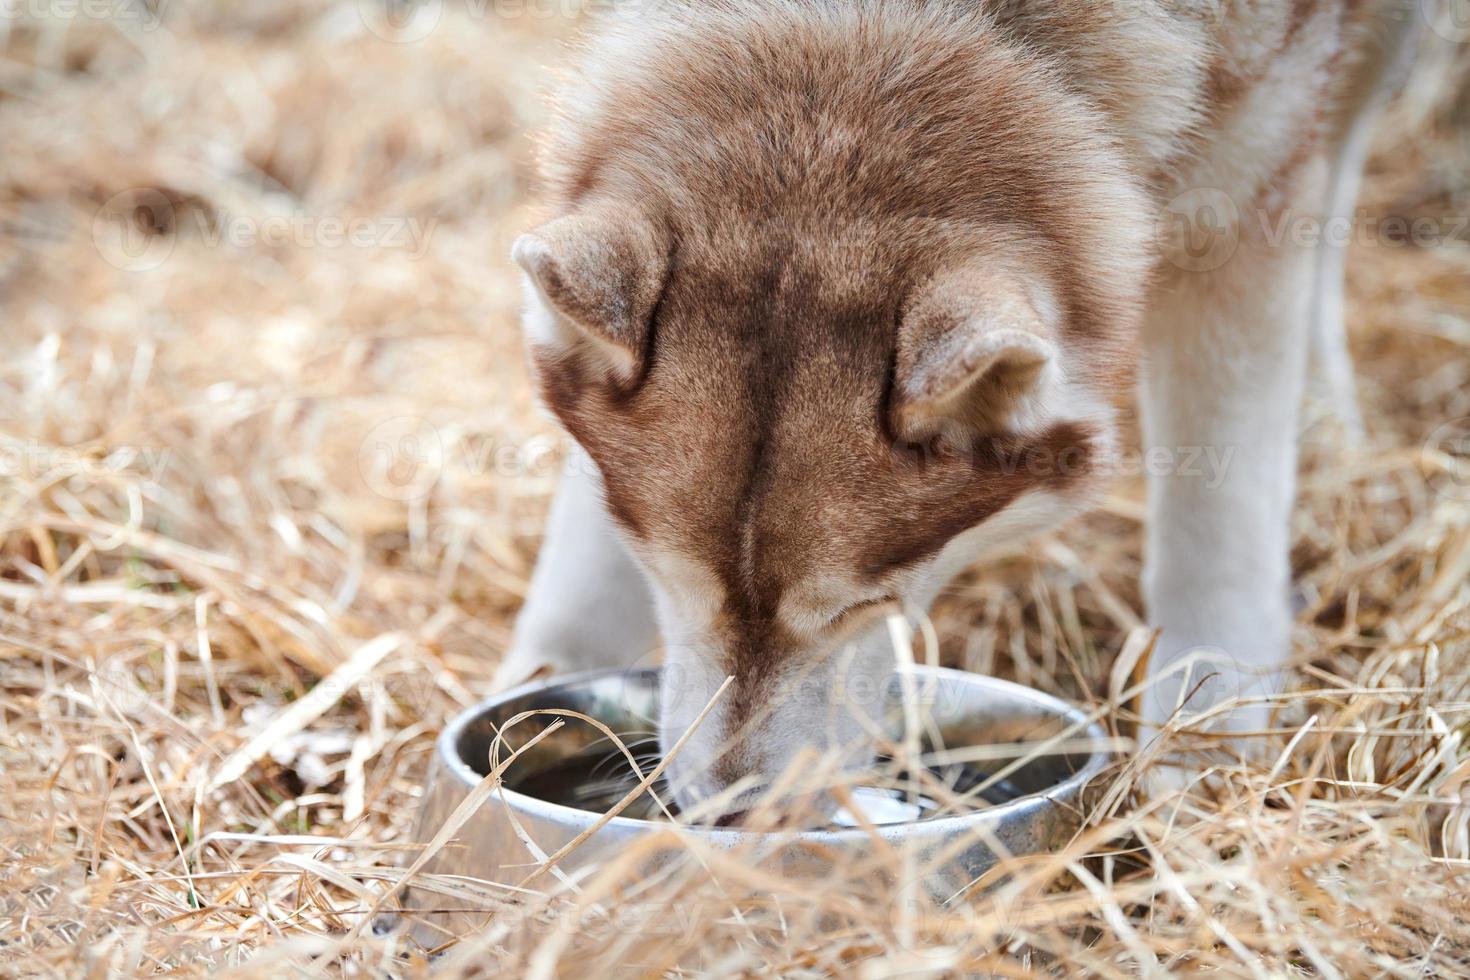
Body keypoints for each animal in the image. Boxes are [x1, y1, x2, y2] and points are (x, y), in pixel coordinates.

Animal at [499, 0, 1417, 822]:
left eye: (865, 606)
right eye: (667, 575)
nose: (734, 811)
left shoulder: (1254, 169)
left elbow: (1219, 523)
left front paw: (1206, 731)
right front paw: (542, 679)